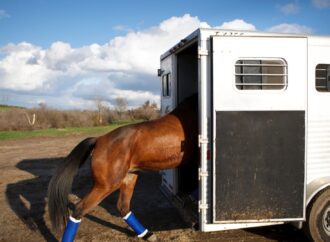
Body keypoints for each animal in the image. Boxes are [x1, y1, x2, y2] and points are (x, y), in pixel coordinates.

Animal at [47, 93, 197, 241]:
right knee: (79, 209)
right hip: (106, 185)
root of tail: (99, 140)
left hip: (129, 177)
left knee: (123, 207)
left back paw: (147, 234)